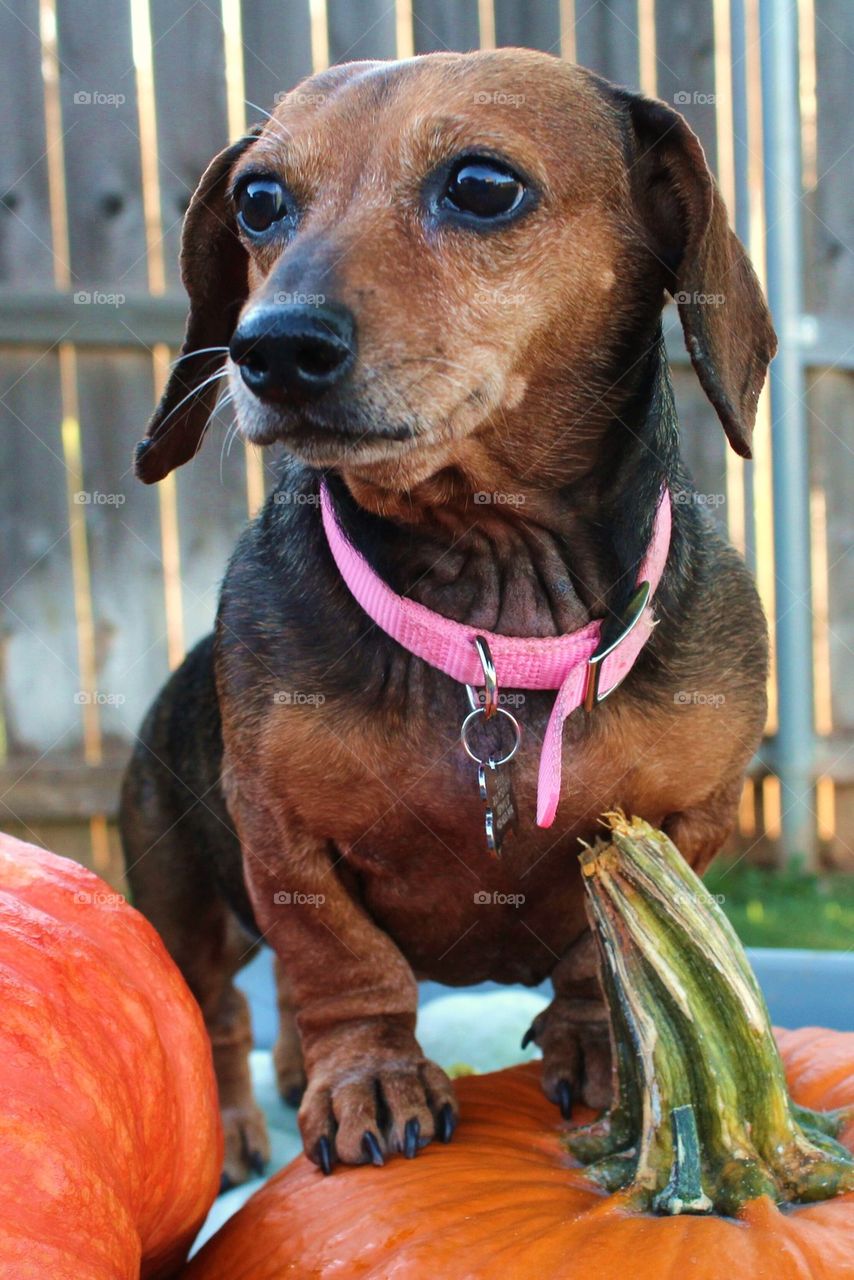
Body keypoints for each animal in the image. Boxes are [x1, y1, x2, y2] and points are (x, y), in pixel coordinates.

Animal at [118, 52, 773, 1187]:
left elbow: (599, 948)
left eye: (480, 185)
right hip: (181, 897)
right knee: (214, 1013)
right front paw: (372, 1078)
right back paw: (247, 1115)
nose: (269, 348)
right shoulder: (280, 836)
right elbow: (344, 962)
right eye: (258, 200)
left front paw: (599, 1043)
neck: (493, 621)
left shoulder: (690, 819)